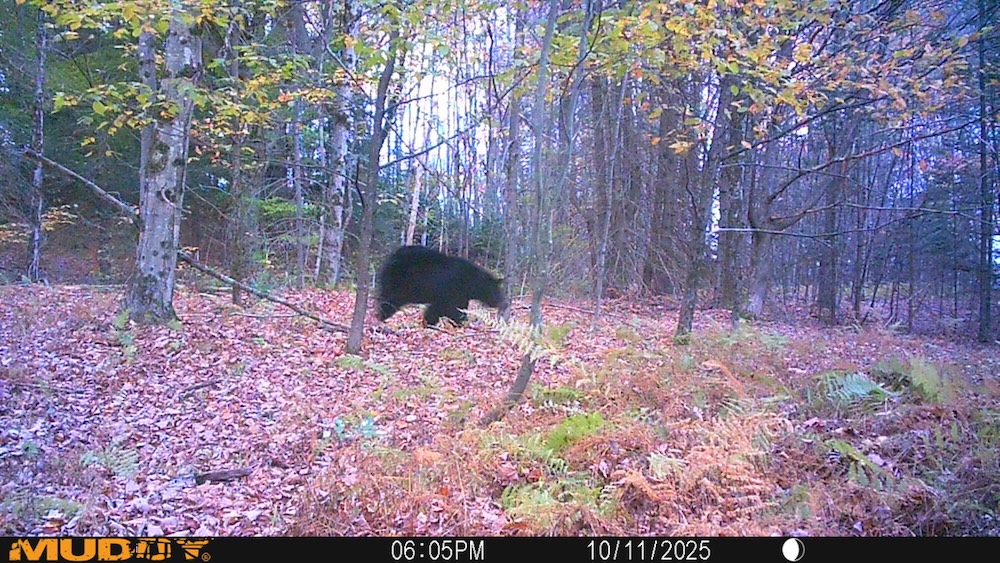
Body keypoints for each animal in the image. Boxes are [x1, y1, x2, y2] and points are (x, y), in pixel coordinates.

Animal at [376, 245, 508, 326]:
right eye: (497, 291)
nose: (503, 303)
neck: (470, 281)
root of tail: (392, 256)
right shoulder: (449, 290)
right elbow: (444, 308)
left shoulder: (462, 295)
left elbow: (458, 307)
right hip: (399, 282)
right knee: (390, 300)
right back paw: (383, 316)